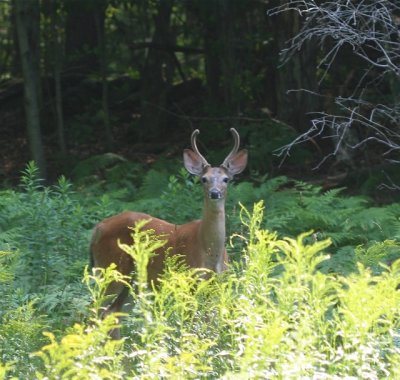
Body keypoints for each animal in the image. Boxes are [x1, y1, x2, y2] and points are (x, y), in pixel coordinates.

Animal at [90, 128, 247, 338]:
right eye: (203, 179)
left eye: (226, 179)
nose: (214, 193)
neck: (210, 252)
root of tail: (98, 228)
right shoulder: (189, 280)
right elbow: (192, 326)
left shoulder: (218, 283)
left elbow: (210, 324)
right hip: (110, 268)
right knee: (95, 310)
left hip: (133, 281)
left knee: (113, 313)